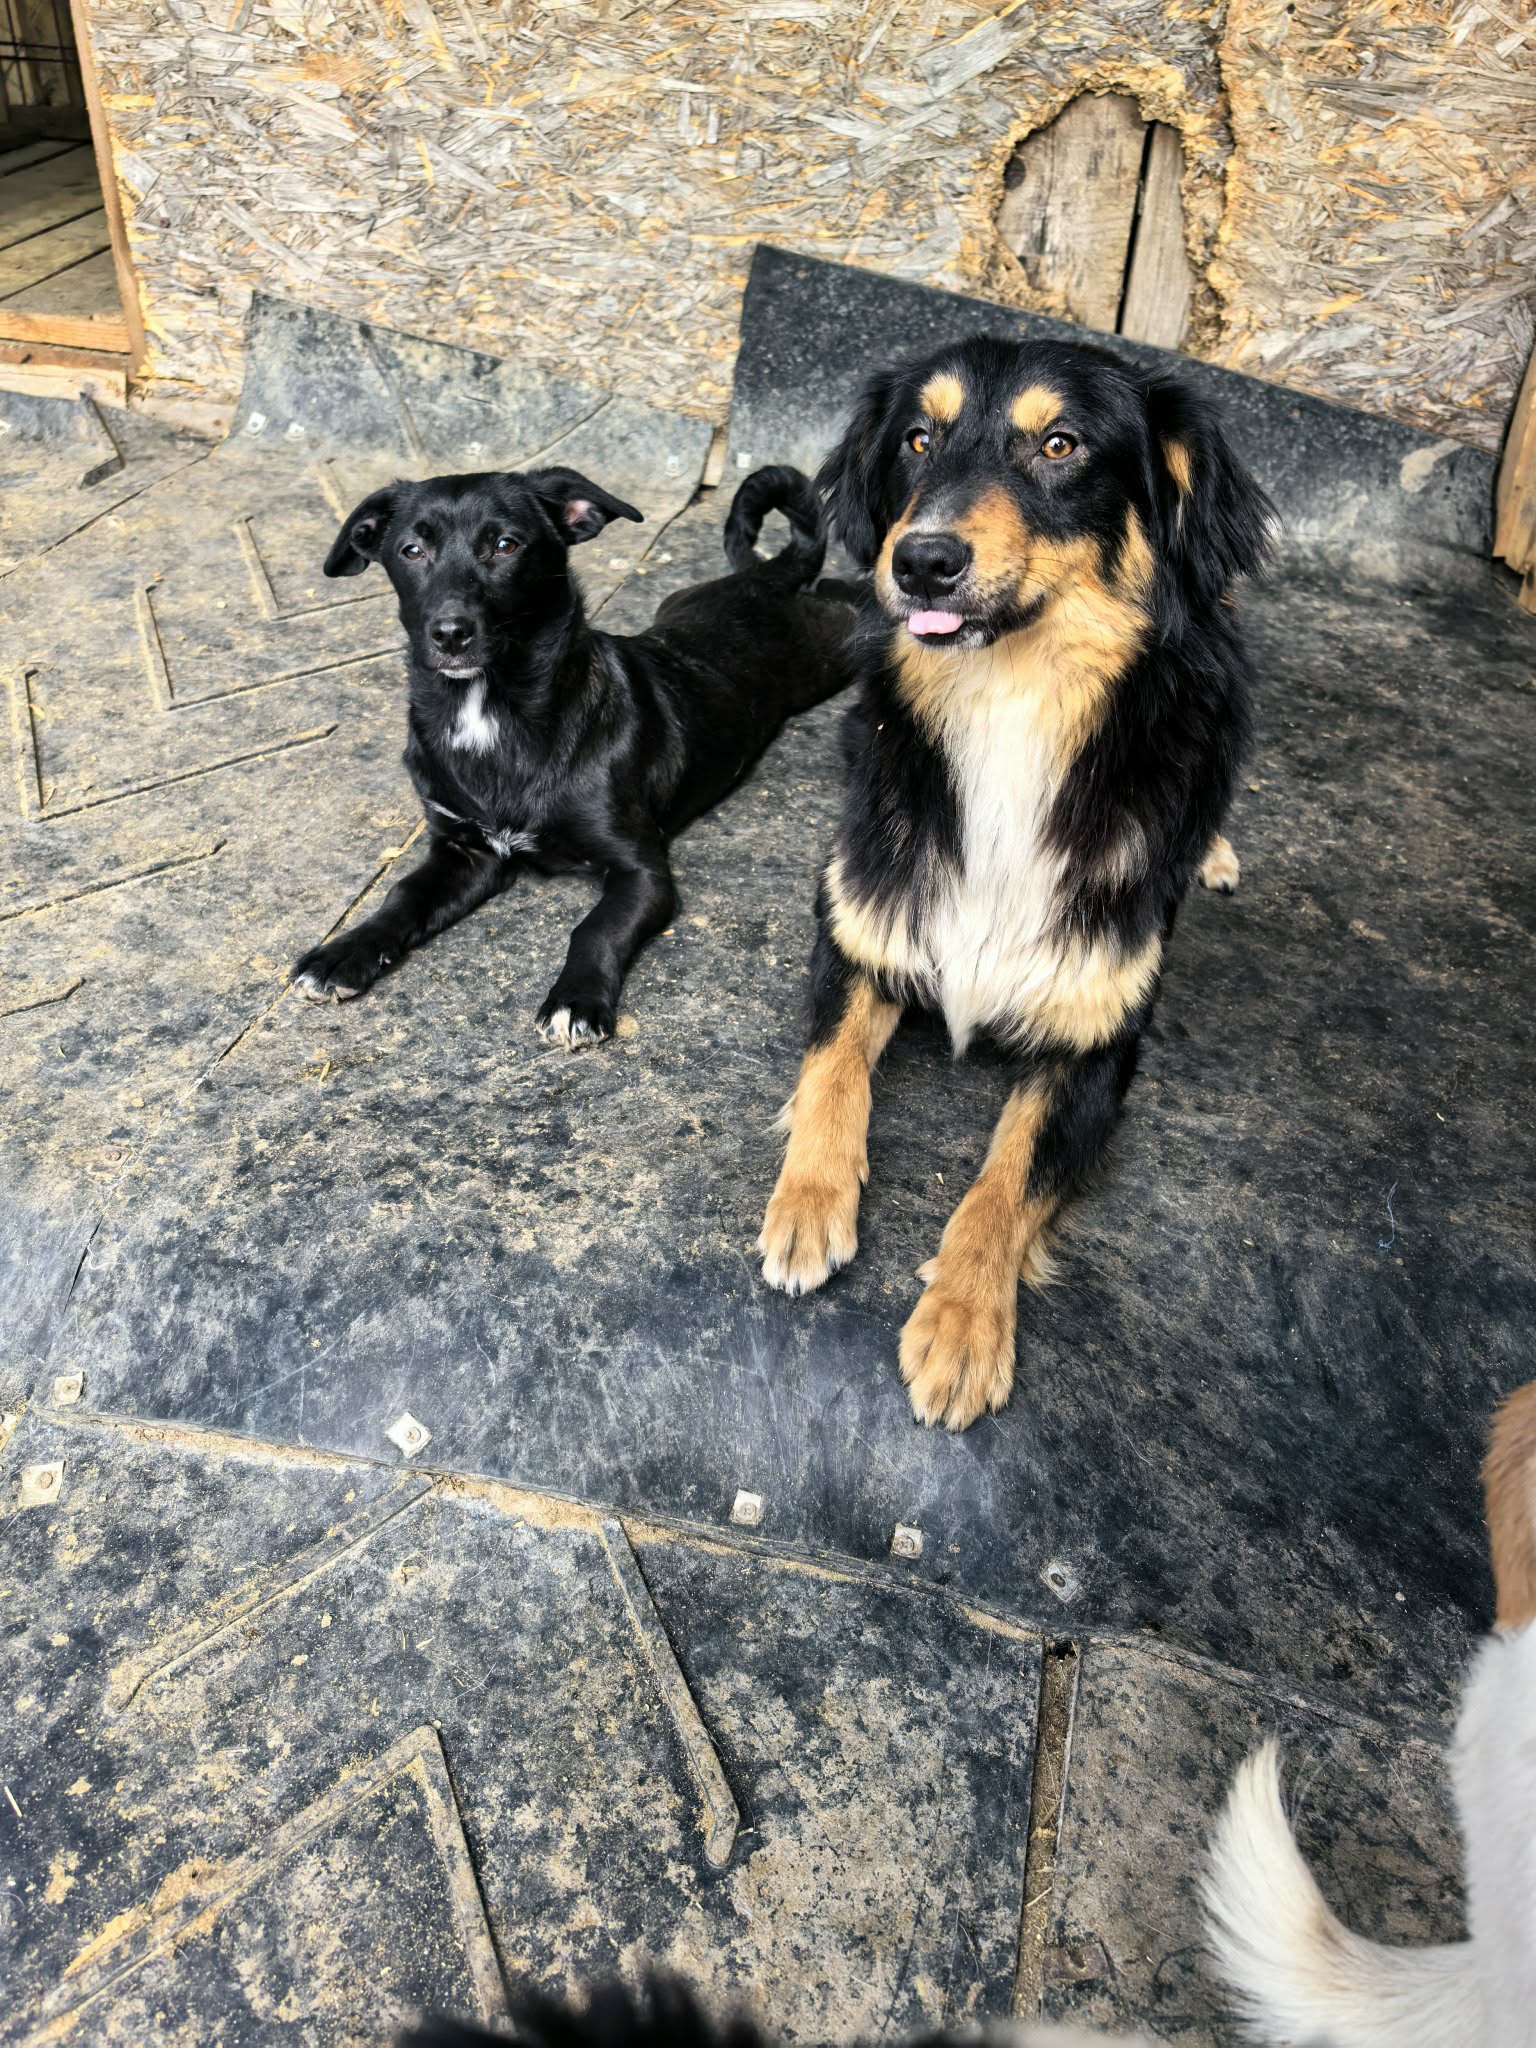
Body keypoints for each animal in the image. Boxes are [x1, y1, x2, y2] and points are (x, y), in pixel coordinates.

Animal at [292, 464, 851, 1044]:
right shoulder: (465, 851)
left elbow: (594, 928)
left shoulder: (641, 871)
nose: (449, 634)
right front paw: (345, 951)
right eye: (411, 550)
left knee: (844, 593)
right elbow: (403, 896)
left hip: (835, 644)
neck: (490, 711)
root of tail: (762, 577)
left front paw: (576, 999)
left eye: (506, 544)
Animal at [757, 334, 1273, 1428]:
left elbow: (1005, 1180)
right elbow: (831, 1072)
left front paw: (962, 1321)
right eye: (918, 437)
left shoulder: (1100, 1042)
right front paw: (808, 1201)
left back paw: (1210, 850)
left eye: (1061, 443)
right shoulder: (859, 929)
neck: (1008, 706)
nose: (921, 560)